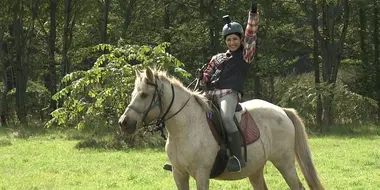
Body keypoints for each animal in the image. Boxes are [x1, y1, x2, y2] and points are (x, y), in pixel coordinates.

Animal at [118, 67, 324, 189]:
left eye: (144, 95)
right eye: (134, 93)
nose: (124, 122)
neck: (186, 128)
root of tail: (282, 110)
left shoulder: (201, 174)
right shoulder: (179, 174)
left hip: (284, 163)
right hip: (256, 169)